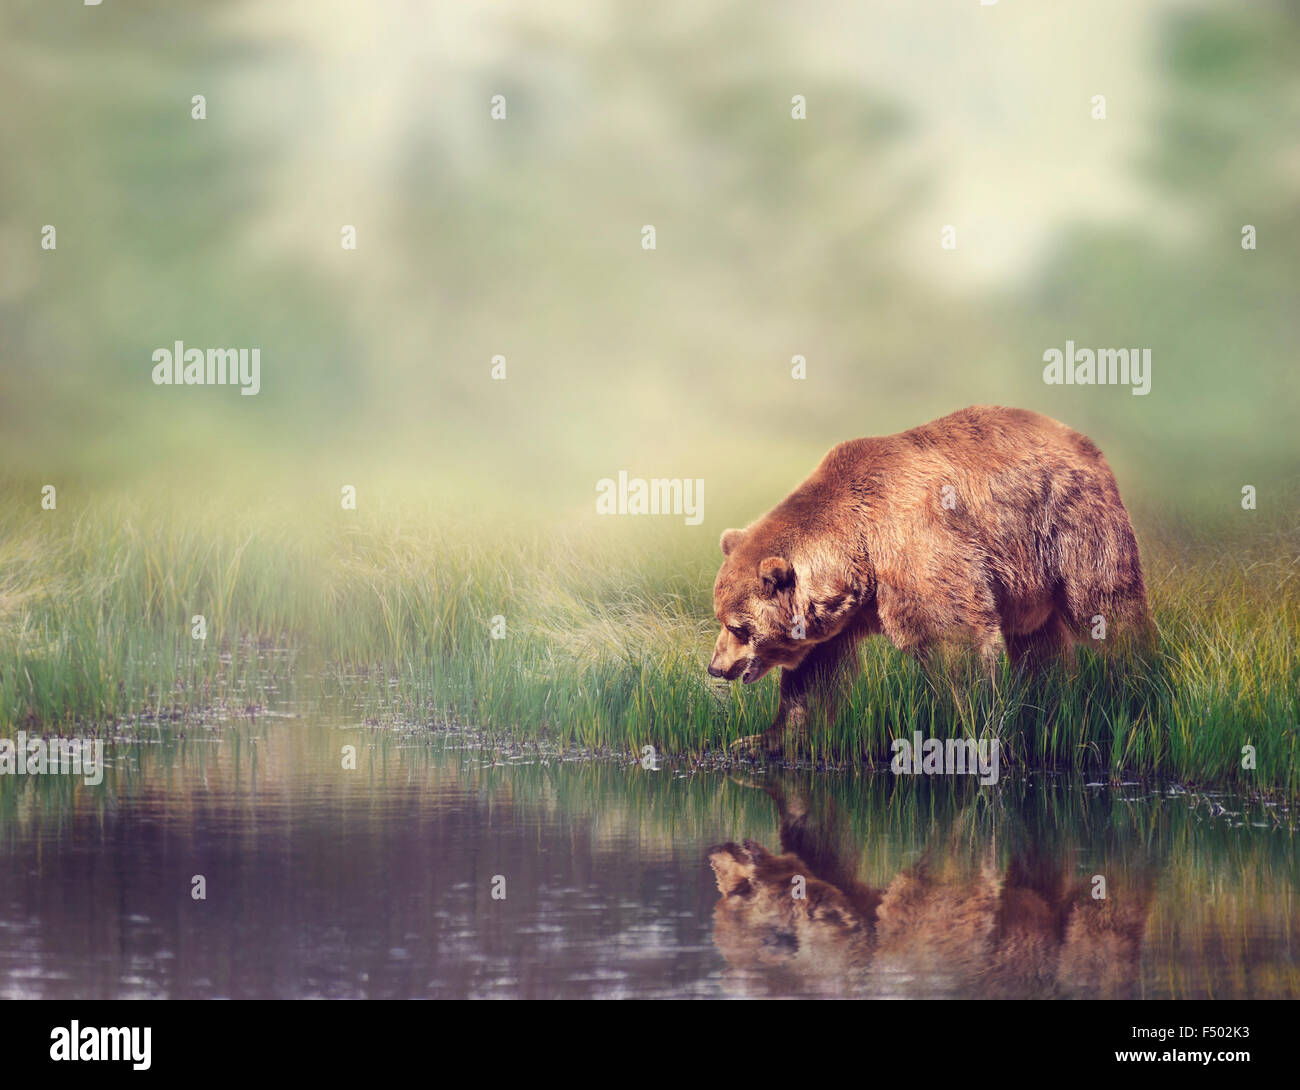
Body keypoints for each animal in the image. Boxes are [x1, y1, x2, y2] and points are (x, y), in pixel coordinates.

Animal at [708, 405, 1153, 754]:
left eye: (738, 627)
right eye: (721, 619)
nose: (716, 667)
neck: (857, 556)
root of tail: (1081, 440)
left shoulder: (918, 546)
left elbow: (955, 639)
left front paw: (961, 728)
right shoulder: (842, 617)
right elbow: (813, 679)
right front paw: (759, 739)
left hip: (1070, 527)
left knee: (1107, 612)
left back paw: (1132, 684)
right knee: (1038, 641)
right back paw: (1049, 699)